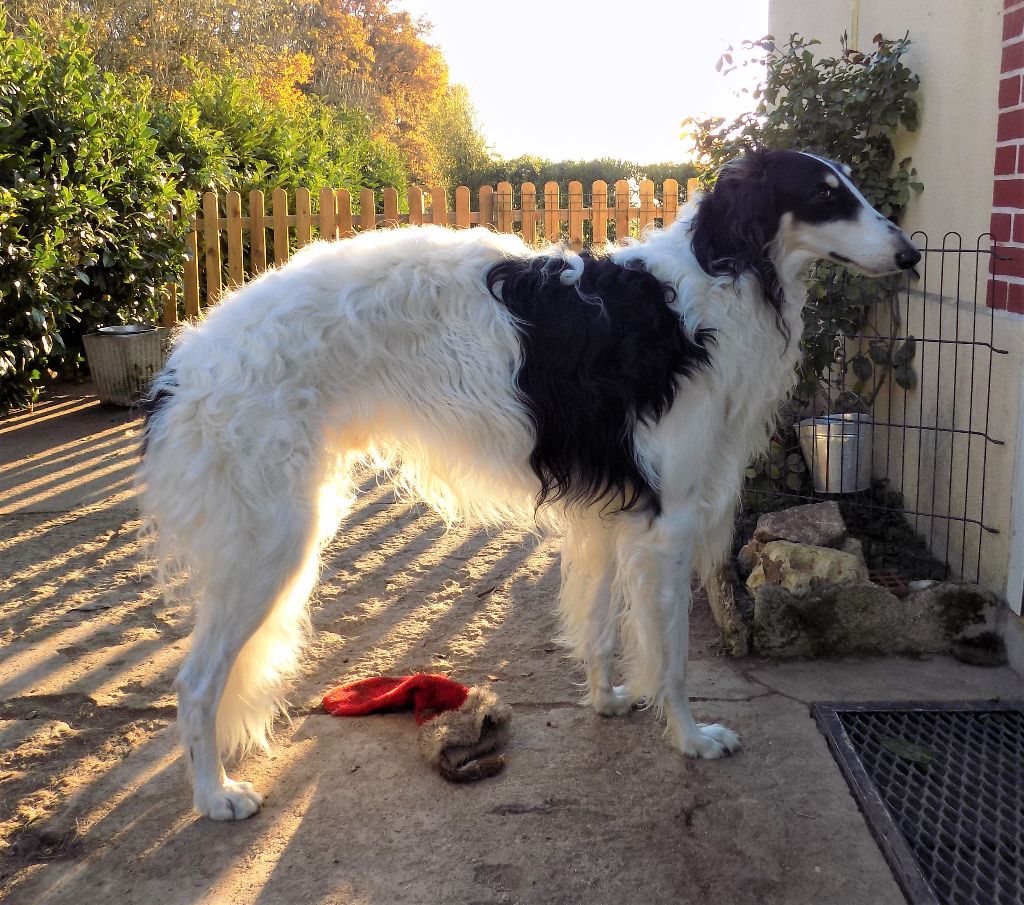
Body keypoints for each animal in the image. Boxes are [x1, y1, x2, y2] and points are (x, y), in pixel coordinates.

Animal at [139, 148, 920, 820]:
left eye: (848, 185)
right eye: (826, 194)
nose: (912, 254)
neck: (712, 285)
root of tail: (192, 355)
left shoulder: (610, 514)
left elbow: (600, 627)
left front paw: (607, 702)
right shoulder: (666, 521)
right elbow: (669, 656)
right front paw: (692, 738)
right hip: (271, 539)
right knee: (195, 681)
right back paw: (215, 795)